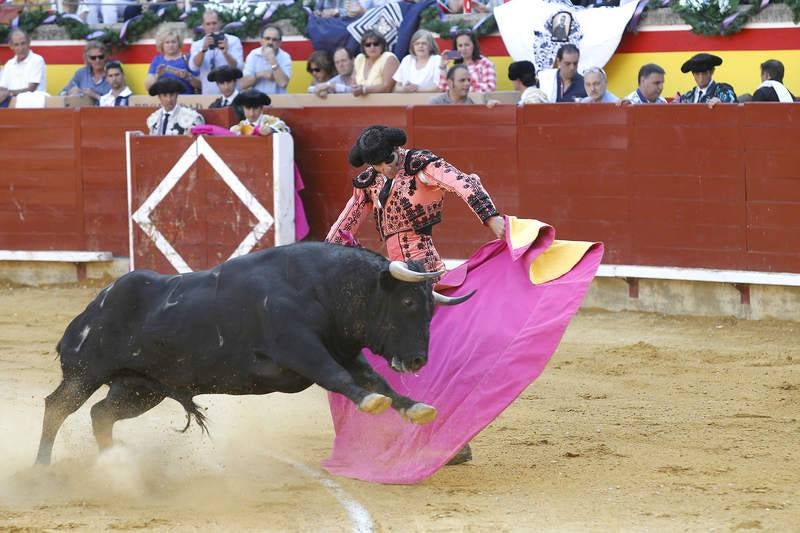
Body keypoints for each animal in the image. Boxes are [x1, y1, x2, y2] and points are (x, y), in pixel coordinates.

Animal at [36, 241, 476, 462]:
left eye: (432, 307)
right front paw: (371, 404)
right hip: (85, 373)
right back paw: (43, 468)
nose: (417, 360)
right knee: (57, 407)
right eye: (408, 303)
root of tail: (90, 311)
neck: (323, 288)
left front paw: (415, 408)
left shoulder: (346, 352)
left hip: (141, 388)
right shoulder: (301, 349)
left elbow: (377, 381)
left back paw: (112, 462)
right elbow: (338, 378)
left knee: (101, 414)